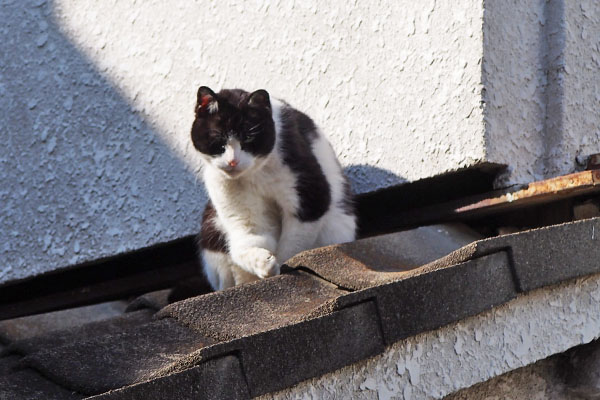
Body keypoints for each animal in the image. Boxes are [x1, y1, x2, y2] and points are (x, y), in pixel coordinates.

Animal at [190, 86, 354, 290]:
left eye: (248, 139)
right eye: (218, 139)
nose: (233, 161)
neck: (255, 175)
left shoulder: (308, 193)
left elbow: (292, 246)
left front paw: (281, 268)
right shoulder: (237, 205)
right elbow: (251, 239)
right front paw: (264, 264)